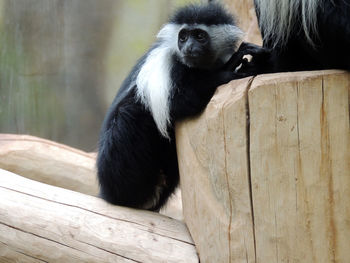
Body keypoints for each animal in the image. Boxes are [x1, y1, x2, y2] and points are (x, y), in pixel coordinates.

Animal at [95, 2, 266, 212]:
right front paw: (230, 69)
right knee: (130, 113)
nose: (189, 47)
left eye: (199, 36)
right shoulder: (167, 67)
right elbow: (180, 102)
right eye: (183, 36)